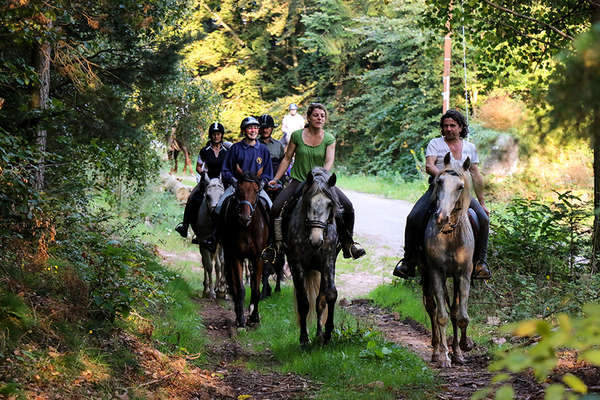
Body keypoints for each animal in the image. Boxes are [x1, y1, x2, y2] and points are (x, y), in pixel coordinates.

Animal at [219, 173, 268, 328]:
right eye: (238, 190)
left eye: (256, 191)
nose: (245, 217)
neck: (247, 228)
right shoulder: (236, 257)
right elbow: (240, 289)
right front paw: (241, 319)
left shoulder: (258, 258)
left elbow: (256, 289)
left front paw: (254, 317)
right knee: (233, 285)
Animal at [420, 153, 476, 368]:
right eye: (439, 182)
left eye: (460, 186)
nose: (441, 217)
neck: (451, 235)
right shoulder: (436, 272)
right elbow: (441, 316)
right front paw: (444, 356)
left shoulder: (464, 275)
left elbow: (461, 316)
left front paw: (462, 349)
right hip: (426, 274)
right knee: (432, 308)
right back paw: (436, 351)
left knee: (452, 310)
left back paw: (456, 351)